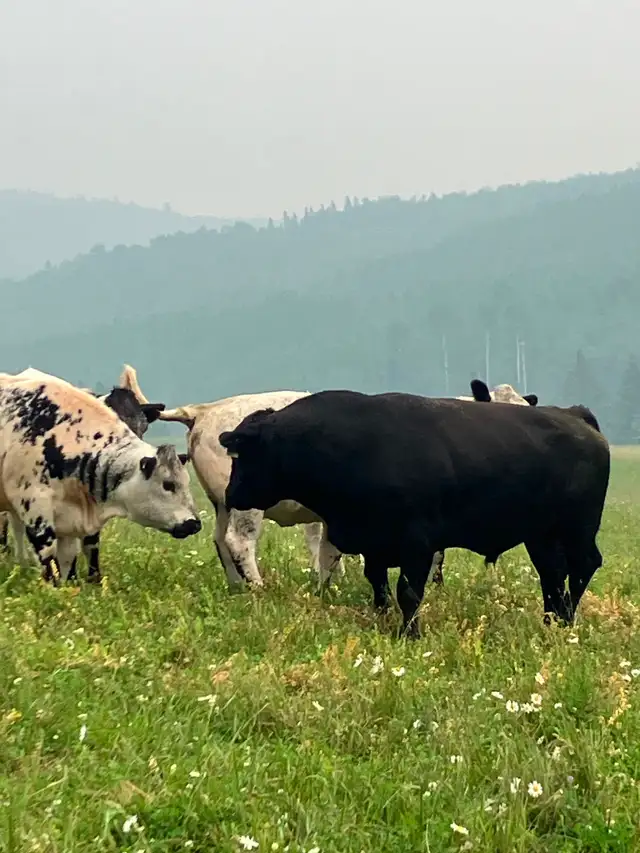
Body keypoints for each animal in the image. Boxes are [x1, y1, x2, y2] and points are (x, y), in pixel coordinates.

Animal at [0, 370, 201, 584]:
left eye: (144, 425)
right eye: (168, 485)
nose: (194, 523)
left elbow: (77, 555)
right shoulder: (35, 507)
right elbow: (49, 558)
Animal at [118, 364, 343, 589]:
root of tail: (204, 410)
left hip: (222, 502)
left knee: (220, 539)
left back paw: (238, 587)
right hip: (246, 499)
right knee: (238, 540)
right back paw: (258, 588)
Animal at [219, 390, 609, 639]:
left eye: (244, 454)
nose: (230, 493)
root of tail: (573, 415)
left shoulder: (417, 542)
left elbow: (408, 591)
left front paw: (410, 634)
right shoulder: (374, 545)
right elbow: (377, 584)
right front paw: (384, 619)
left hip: (578, 529)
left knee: (583, 566)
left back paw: (567, 619)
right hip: (541, 535)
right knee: (552, 574)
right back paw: (551, 621)